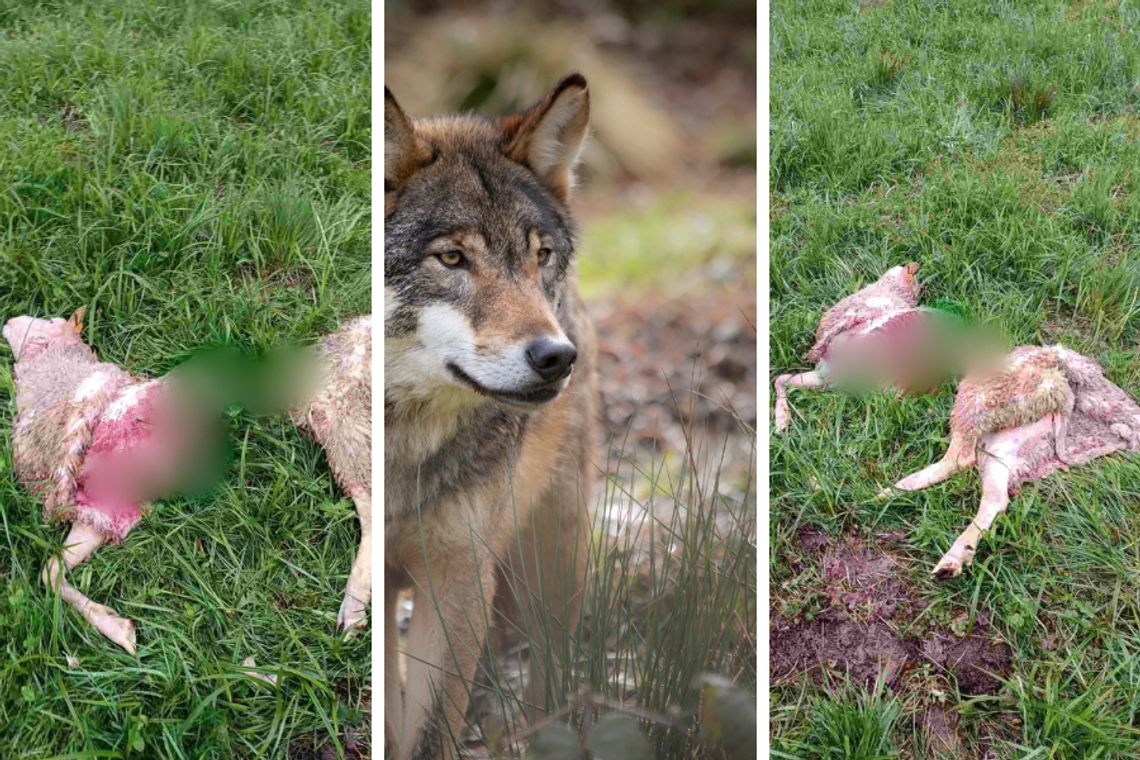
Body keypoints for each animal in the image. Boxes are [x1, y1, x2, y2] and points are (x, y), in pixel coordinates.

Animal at [3, 309, 369, 656]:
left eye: (49, 323)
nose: (9, 322)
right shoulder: (99, 510)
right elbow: (52, 565)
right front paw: (118, 627)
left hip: (345, 425)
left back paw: (352, 613)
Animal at [385, 72, 601, 760]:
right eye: (453, 259)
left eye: (540, 256)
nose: (557, 357)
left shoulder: (459, 581)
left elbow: (429, 736)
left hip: (552, 554)